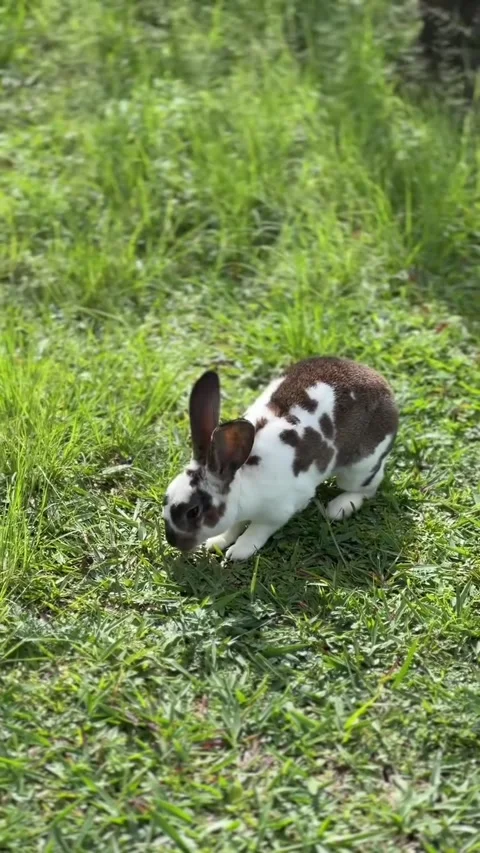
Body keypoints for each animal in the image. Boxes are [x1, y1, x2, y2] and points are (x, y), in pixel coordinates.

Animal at [163, 357, 398, 561]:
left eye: (193, 512)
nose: (173, 541)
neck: (244, 482)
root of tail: (384, 387)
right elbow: (233, 527)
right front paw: (217, 542)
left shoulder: (276, 514)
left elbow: (256, 531)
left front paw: (239, 551)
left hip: (360, 468)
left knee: (367, 488)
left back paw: (338, 508)